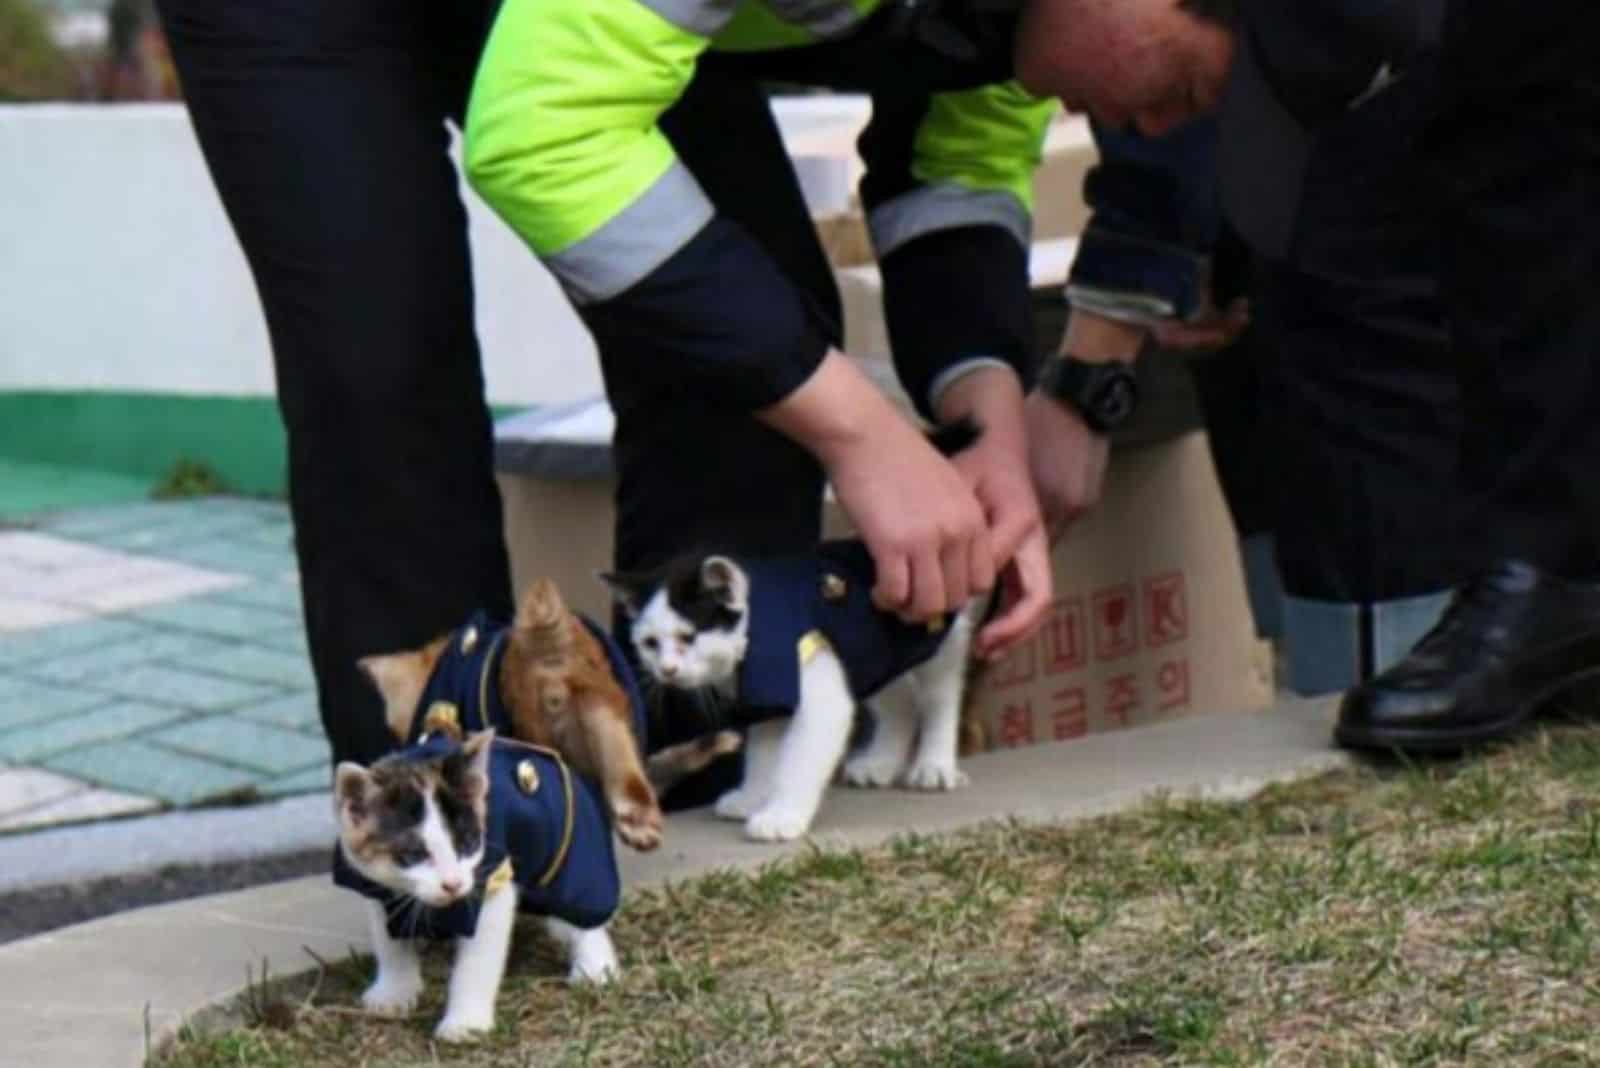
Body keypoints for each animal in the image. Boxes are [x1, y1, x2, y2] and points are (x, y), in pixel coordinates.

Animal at [601, 549, 972, 844]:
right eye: (650, 643)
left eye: (688, 637)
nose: (667, 670)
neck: (754, 632)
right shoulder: (768, 698)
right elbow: (764, 753)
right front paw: (753, 797)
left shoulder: (815, 694)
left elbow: (799, 760)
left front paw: (782, 815)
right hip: (873, 657)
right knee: (903, 701)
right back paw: (879, 763)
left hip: (935, 640)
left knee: (940, 696)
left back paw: (935, 766)